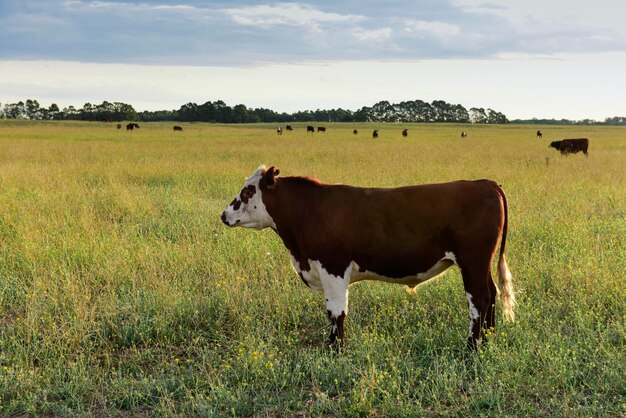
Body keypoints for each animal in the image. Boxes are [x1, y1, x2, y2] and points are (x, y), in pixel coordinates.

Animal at [222, 165, 516, 352]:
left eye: (248, 191)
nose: (224, 215)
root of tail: (485, 183)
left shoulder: (334, 267)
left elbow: (337, 312)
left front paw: (336, 351)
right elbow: (332, 313)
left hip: (472, 261)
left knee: (478, 300)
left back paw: (472, 349)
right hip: (480, 264)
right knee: (491, 293)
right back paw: (488, 340)